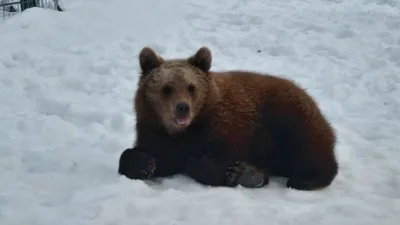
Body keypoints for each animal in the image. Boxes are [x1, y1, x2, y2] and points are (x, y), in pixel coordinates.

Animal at [117, 46, 340, 191]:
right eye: (167, 88)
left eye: (191, 87)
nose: (183, 108)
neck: (184, 131)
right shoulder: (155, 132)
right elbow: (151, 156)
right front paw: (144, 163)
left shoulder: (228, 126)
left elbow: (211, 159)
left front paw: (231, 171)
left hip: (288, 115)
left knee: (308, 148)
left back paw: (305, 180)